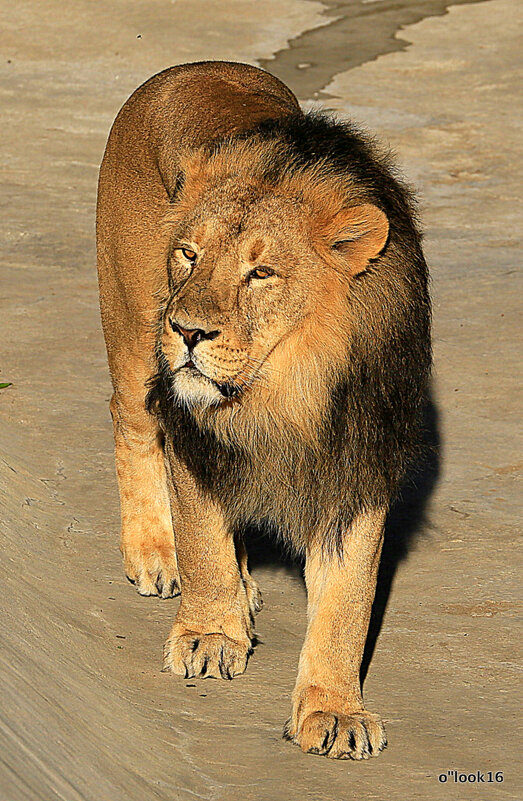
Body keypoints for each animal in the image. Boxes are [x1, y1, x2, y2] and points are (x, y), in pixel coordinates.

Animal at [96, 59, 432, 760]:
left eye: (261, 274)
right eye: (189, 254)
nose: (186, 331)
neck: (285, 389)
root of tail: (190, 67)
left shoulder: (356, 464)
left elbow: (348, 601)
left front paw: (334, 711)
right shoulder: (195, 437)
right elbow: (202, 537)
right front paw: (207, 634)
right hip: (131, 332)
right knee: (132, 423)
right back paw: (156, 554)